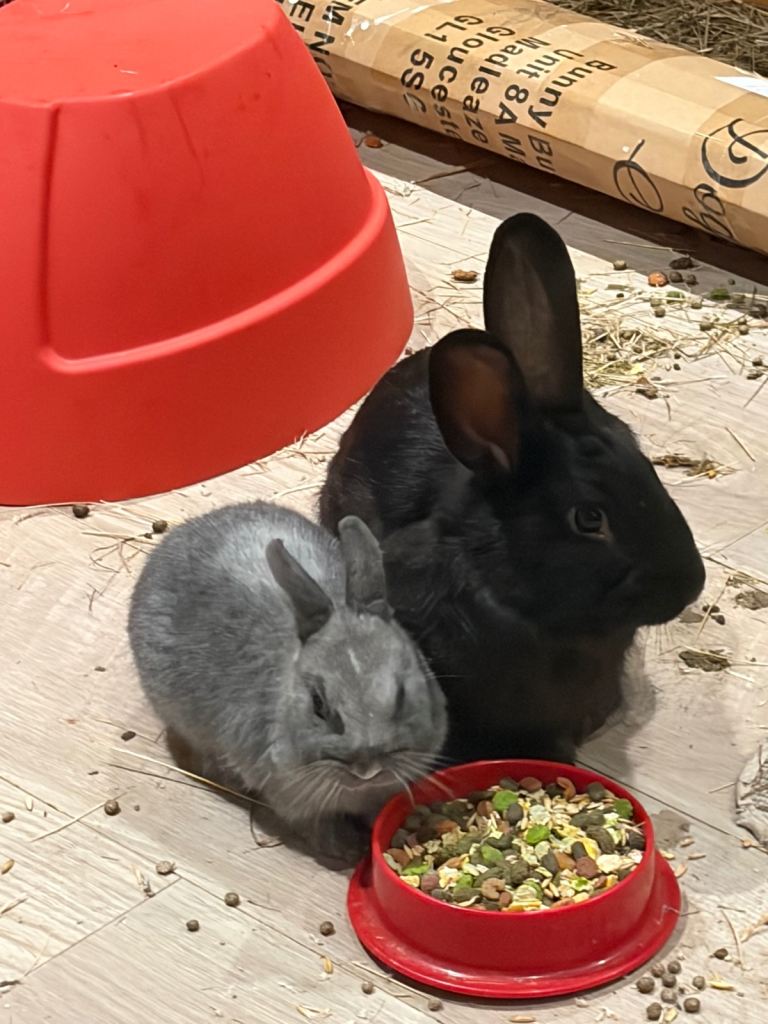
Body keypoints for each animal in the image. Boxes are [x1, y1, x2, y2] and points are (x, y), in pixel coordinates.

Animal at [127, 502, 448, 861]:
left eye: (402, 693)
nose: (367, 768)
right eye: (318, 704)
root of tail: (188, 527)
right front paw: (348, 851)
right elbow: (319, 828)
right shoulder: (295, 799)